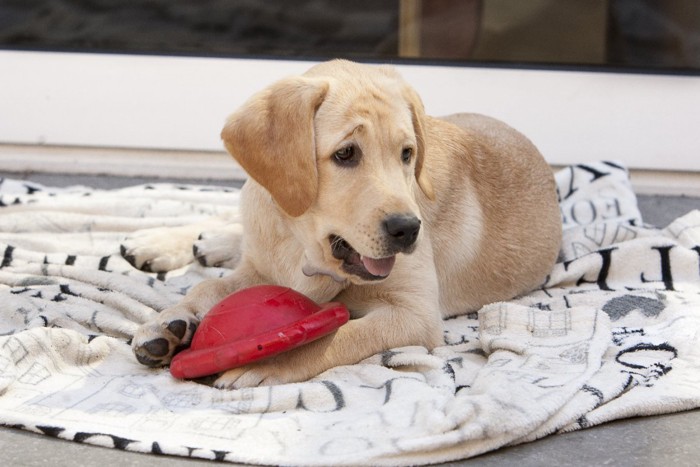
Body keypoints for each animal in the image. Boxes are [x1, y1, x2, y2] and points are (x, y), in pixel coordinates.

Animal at [129, 59, 560, 388]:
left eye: (407, 154)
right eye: (346, 153)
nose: (408, 229)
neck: (304, 245)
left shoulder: (416, 315)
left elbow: (338, 335)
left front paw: (265, 361)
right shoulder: (263, 269)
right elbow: (210, 286)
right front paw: (169, 322)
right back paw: (163, 242)